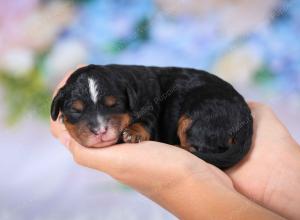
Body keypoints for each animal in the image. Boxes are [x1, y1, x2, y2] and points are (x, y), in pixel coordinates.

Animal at [51, 64, 253, 169]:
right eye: (76, 110)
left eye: (113, 105)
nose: (100, 131)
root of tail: (246, 115)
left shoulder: (149, 109)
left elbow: (145, 122)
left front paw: (132, 133)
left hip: (199, 118)